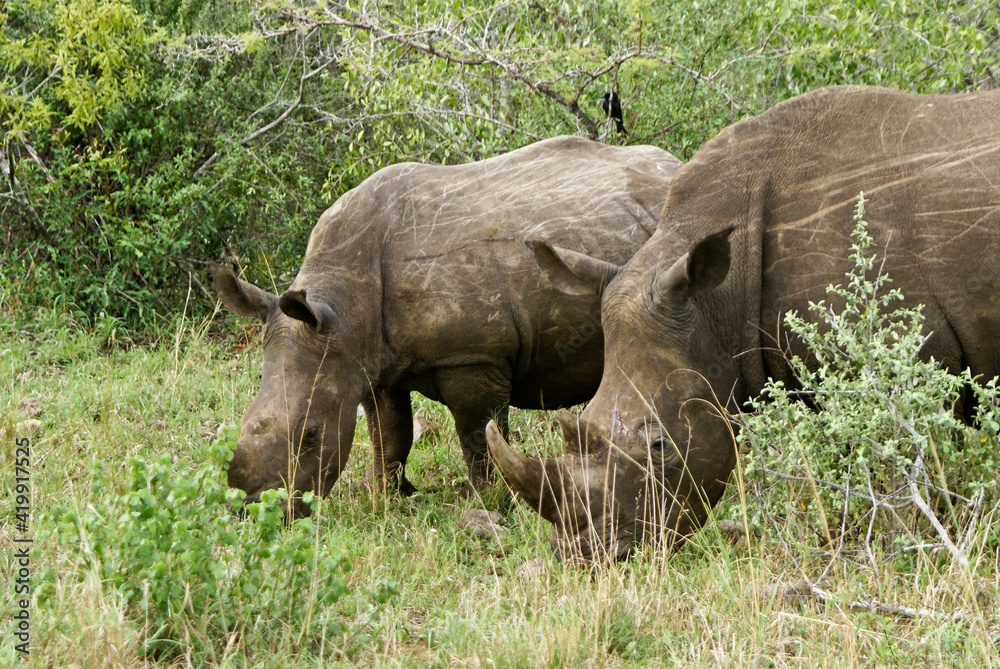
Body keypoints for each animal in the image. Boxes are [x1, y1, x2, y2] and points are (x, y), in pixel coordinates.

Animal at [211, 134, 680, 512]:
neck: (343, 307)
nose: (256, 510)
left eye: (310, 435)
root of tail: (675, 165)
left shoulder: (472, 357)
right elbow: (389, 436)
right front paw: (385, 498)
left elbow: (476, 437)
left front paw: (490, 504)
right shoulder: (374, 364)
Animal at [488, 86, 1000, 560]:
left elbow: (905, 467)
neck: (718, 303)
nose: (583, 558)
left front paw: (916, 541)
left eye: (658, 445)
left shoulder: (909, 364)